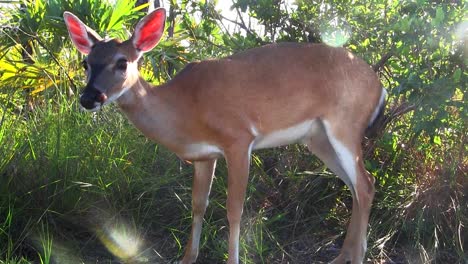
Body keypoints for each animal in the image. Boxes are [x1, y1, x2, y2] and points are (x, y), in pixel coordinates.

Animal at [64, 7, 388, 262]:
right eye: (86, 63)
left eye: (122, 62)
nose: (89, 98)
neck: (185, 108)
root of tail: (380, 86)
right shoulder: (204, 156)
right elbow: (198, 205)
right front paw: (187, 258)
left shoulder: (239, 139)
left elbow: (234, 209)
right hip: (318, 138)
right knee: (356, 187)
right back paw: (342, 256)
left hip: (345, 125)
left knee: (365, 184)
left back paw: (357, 256)